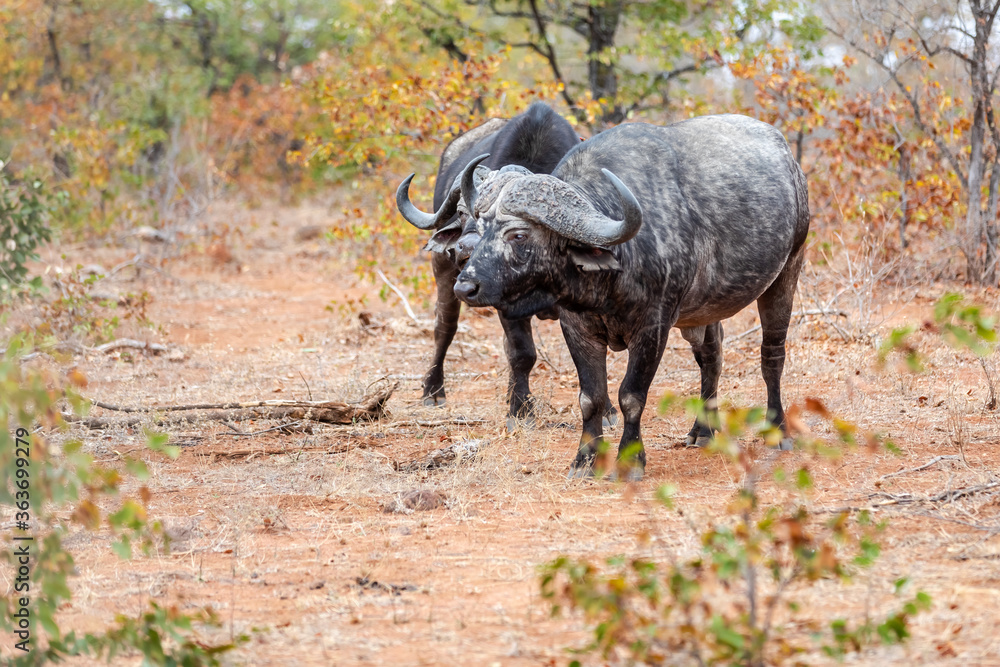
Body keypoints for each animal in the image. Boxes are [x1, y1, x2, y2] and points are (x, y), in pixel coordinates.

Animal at [395, 102, 589, 427]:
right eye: (462, 212)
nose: (465, 248)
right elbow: (522, 353)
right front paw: (520, 411)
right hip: (442, 271)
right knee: (444, 329)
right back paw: (433, 391)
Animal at [450, 115, 810, 479]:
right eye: (481, 226)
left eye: (519, 235)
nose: (465, 287)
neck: (610, 276)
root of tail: (792, 167)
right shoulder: (576, 327)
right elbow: (591, 397)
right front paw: (584, 460)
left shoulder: (654, 327)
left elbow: (631, 396)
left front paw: (631, 459)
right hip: (705, 311)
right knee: (712, 357)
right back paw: (703, 431)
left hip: (787, 272)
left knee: (771, 356)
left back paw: (778, 430)